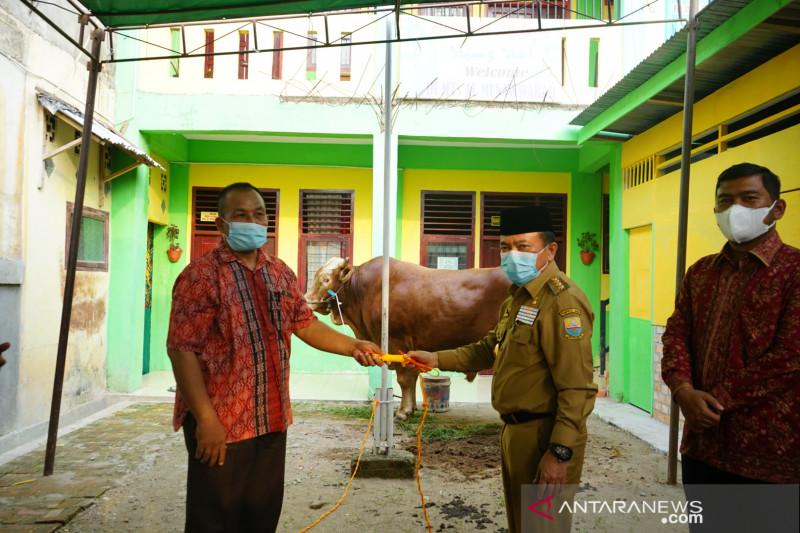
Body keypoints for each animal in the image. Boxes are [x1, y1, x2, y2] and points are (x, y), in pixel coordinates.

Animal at [304, 256, 510, 418]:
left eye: (325, 279)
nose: (306, 301)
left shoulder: (397, 341)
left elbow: (404, 379)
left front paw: (403, 411)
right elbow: (412, 376)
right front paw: (412, 408)